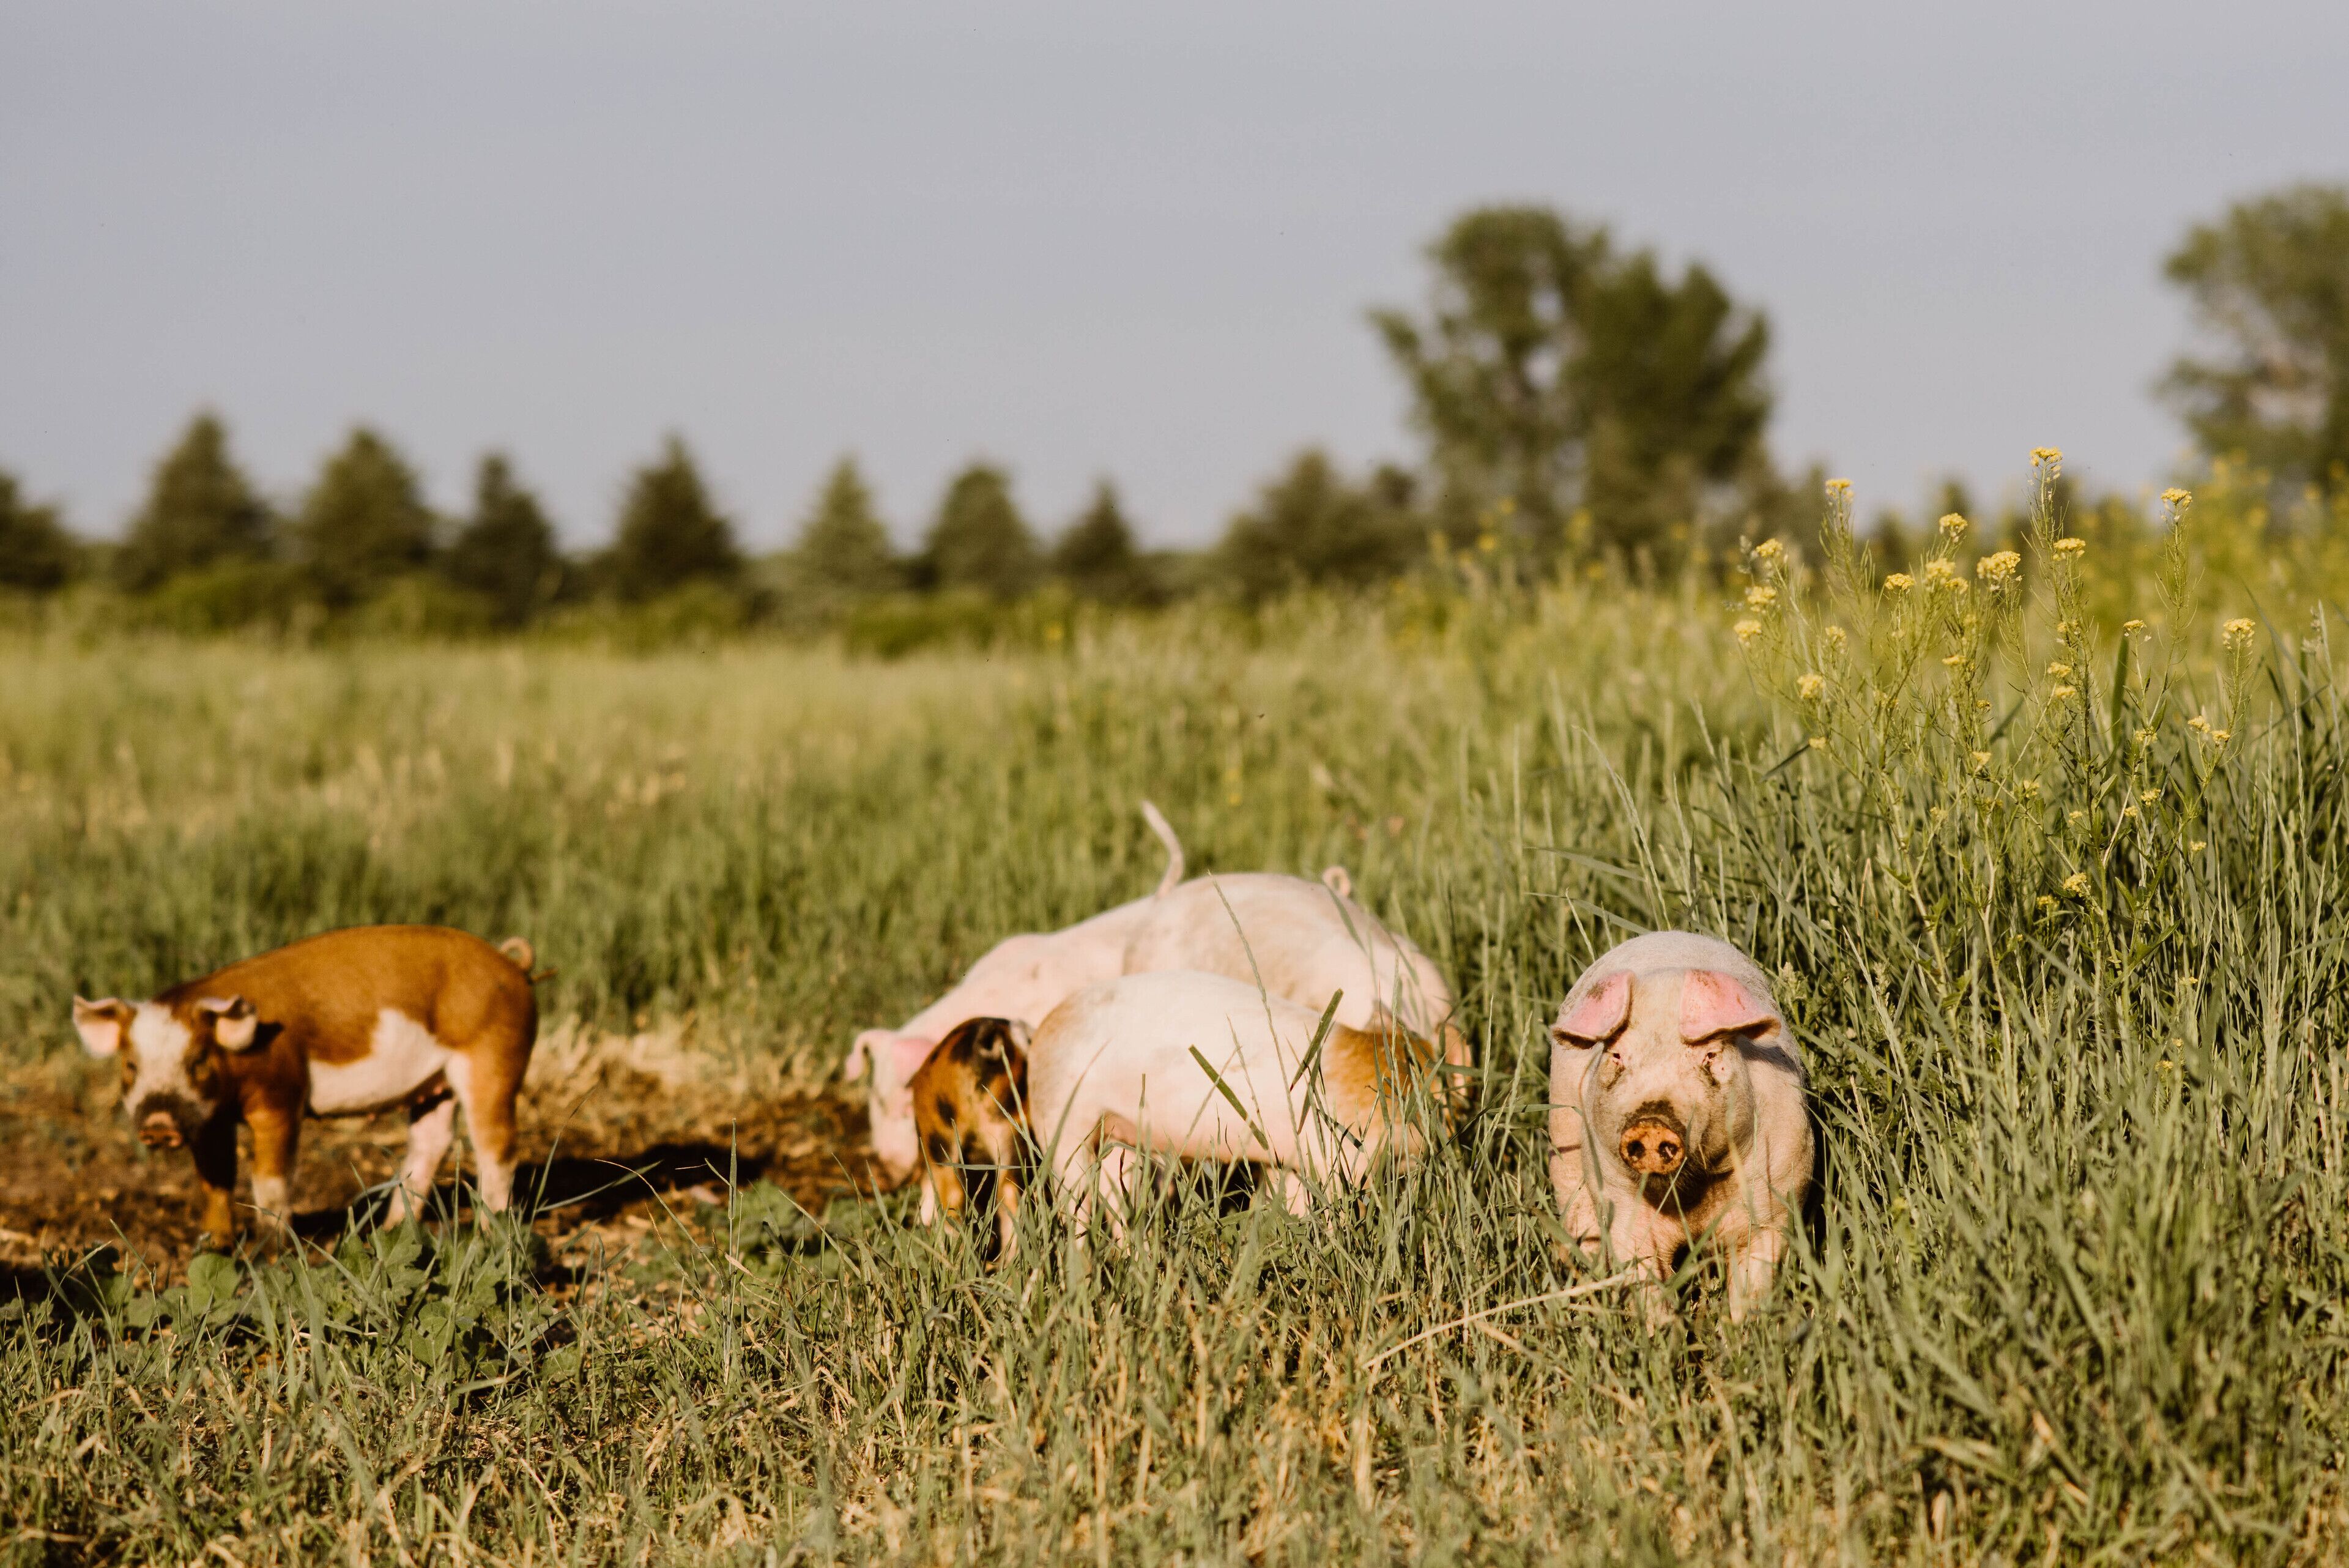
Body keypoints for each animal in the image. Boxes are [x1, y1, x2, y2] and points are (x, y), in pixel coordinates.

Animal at [72, 925, 541, 1250]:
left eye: (198, 1062)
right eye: (131, 1066)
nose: (158, 1122)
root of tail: (516, 968)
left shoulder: (282, 1095)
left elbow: (269, 1178)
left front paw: (272, 1252)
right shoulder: (210, 1118)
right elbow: (215, 1179)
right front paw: (213, 1247)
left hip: (496, 1057)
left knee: (497, 1146)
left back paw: (488, 1234)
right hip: (435, 1084)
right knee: (432, 1140)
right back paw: (386, 1233)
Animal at [1026, 970, 1448, 1240]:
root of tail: (1042, 1030)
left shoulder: (1287, 1161)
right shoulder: (1336, 1155)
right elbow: (1337, 1211)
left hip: (1120, 1140)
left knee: (1124, 1208)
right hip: (1061, 1127)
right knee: (1076, 1210)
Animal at [1547, 931, 1811, 1319]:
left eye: (1710, 1055)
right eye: (1617, 1056)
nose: (1652, 1122)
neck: (1690, 1195)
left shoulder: (1775, 1199)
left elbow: (1753, 1284)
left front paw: (1743, 1331)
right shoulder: (1619, 1201)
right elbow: (1642, 1277)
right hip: (1563, 1148)